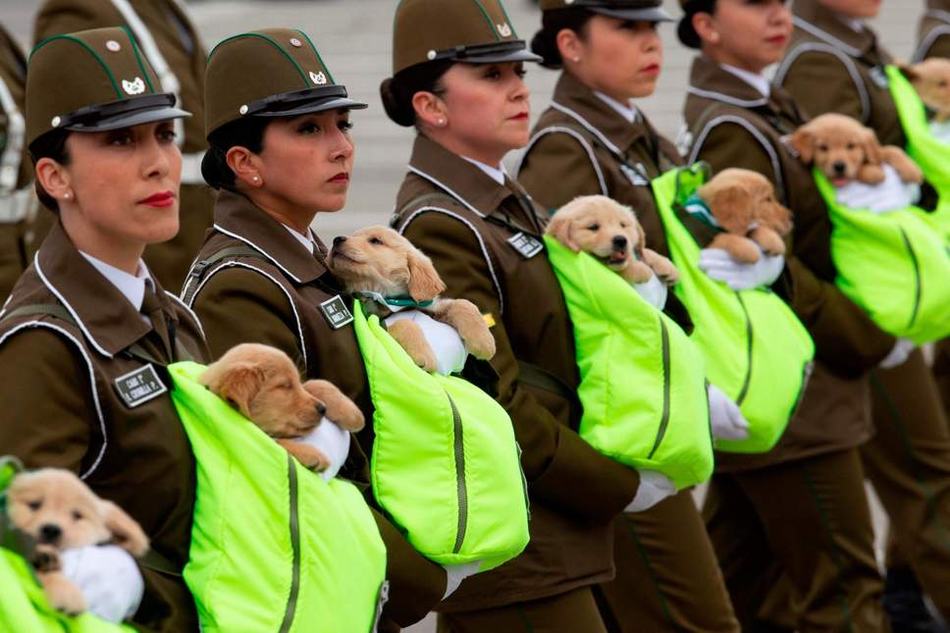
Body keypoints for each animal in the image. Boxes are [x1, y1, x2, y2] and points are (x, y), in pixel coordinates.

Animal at [201, 340, 364, 470]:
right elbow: (273, 442)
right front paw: (309, 455)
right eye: (285, 386)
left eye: (294, 382)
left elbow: (313, 383)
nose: (323, 409)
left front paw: (353, 415)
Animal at [326, 226, 494, 370]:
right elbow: (404, 323)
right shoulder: (376, 322)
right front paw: (422, 354)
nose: (336, 239)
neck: (386, 298)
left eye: (375, 241)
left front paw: (484, 342)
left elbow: (463, 303)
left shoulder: (429, 308)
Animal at [548, 193, 680, 282]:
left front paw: (668, 266)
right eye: (593, 227)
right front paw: (640, 270)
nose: (621, 240)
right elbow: (621, 271)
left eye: (623, 225)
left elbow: (644, 251)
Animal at [792, 112, 924, 185]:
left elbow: (893, 150)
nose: (839, 166)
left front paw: (912, 171)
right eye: (823, 147)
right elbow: (857, 170)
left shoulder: (877, 153)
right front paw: (874, 173)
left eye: (851, 146)